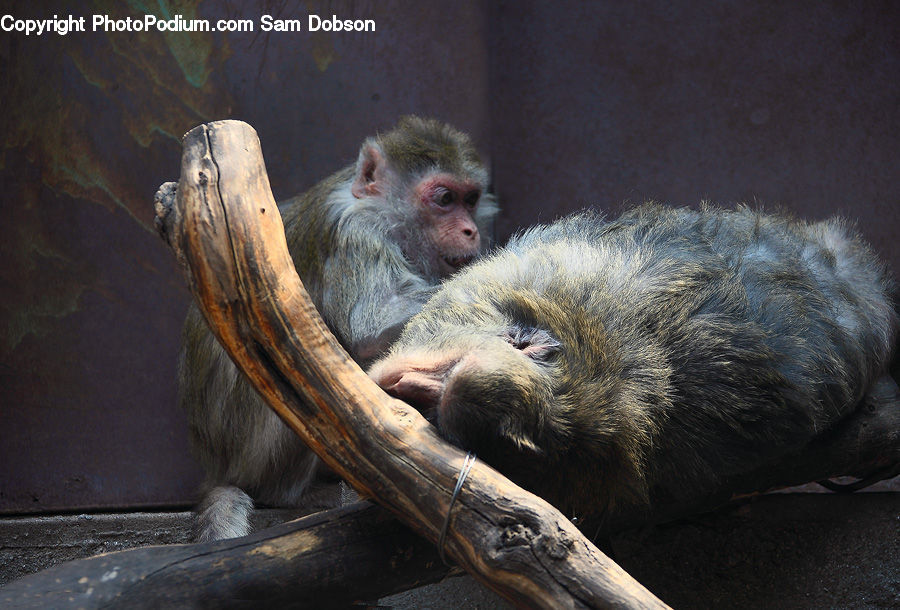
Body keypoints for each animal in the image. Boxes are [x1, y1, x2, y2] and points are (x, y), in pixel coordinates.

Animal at [178, 116, 498, 541]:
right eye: (445, 199)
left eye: (471, 199)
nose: (469, 230)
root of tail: (216, 462)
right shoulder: (358, 232)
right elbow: (371, 325)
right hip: (254, 448)